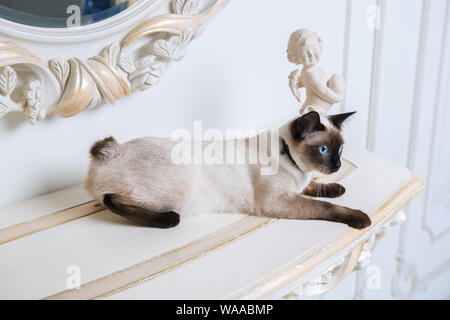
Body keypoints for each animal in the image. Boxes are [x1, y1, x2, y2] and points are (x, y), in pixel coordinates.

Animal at [86, 111, 370, 229]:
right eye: (323, 149)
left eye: (340, 149)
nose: (337, 165)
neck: (293, 162)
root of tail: (114, 150)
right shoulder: (278, 201)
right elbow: (327, 207)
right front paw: (359, 218)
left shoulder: (298, 187)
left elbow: (317, 188)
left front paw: (337, 187)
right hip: (185, 184)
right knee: (111, 200)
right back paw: (168, 220)